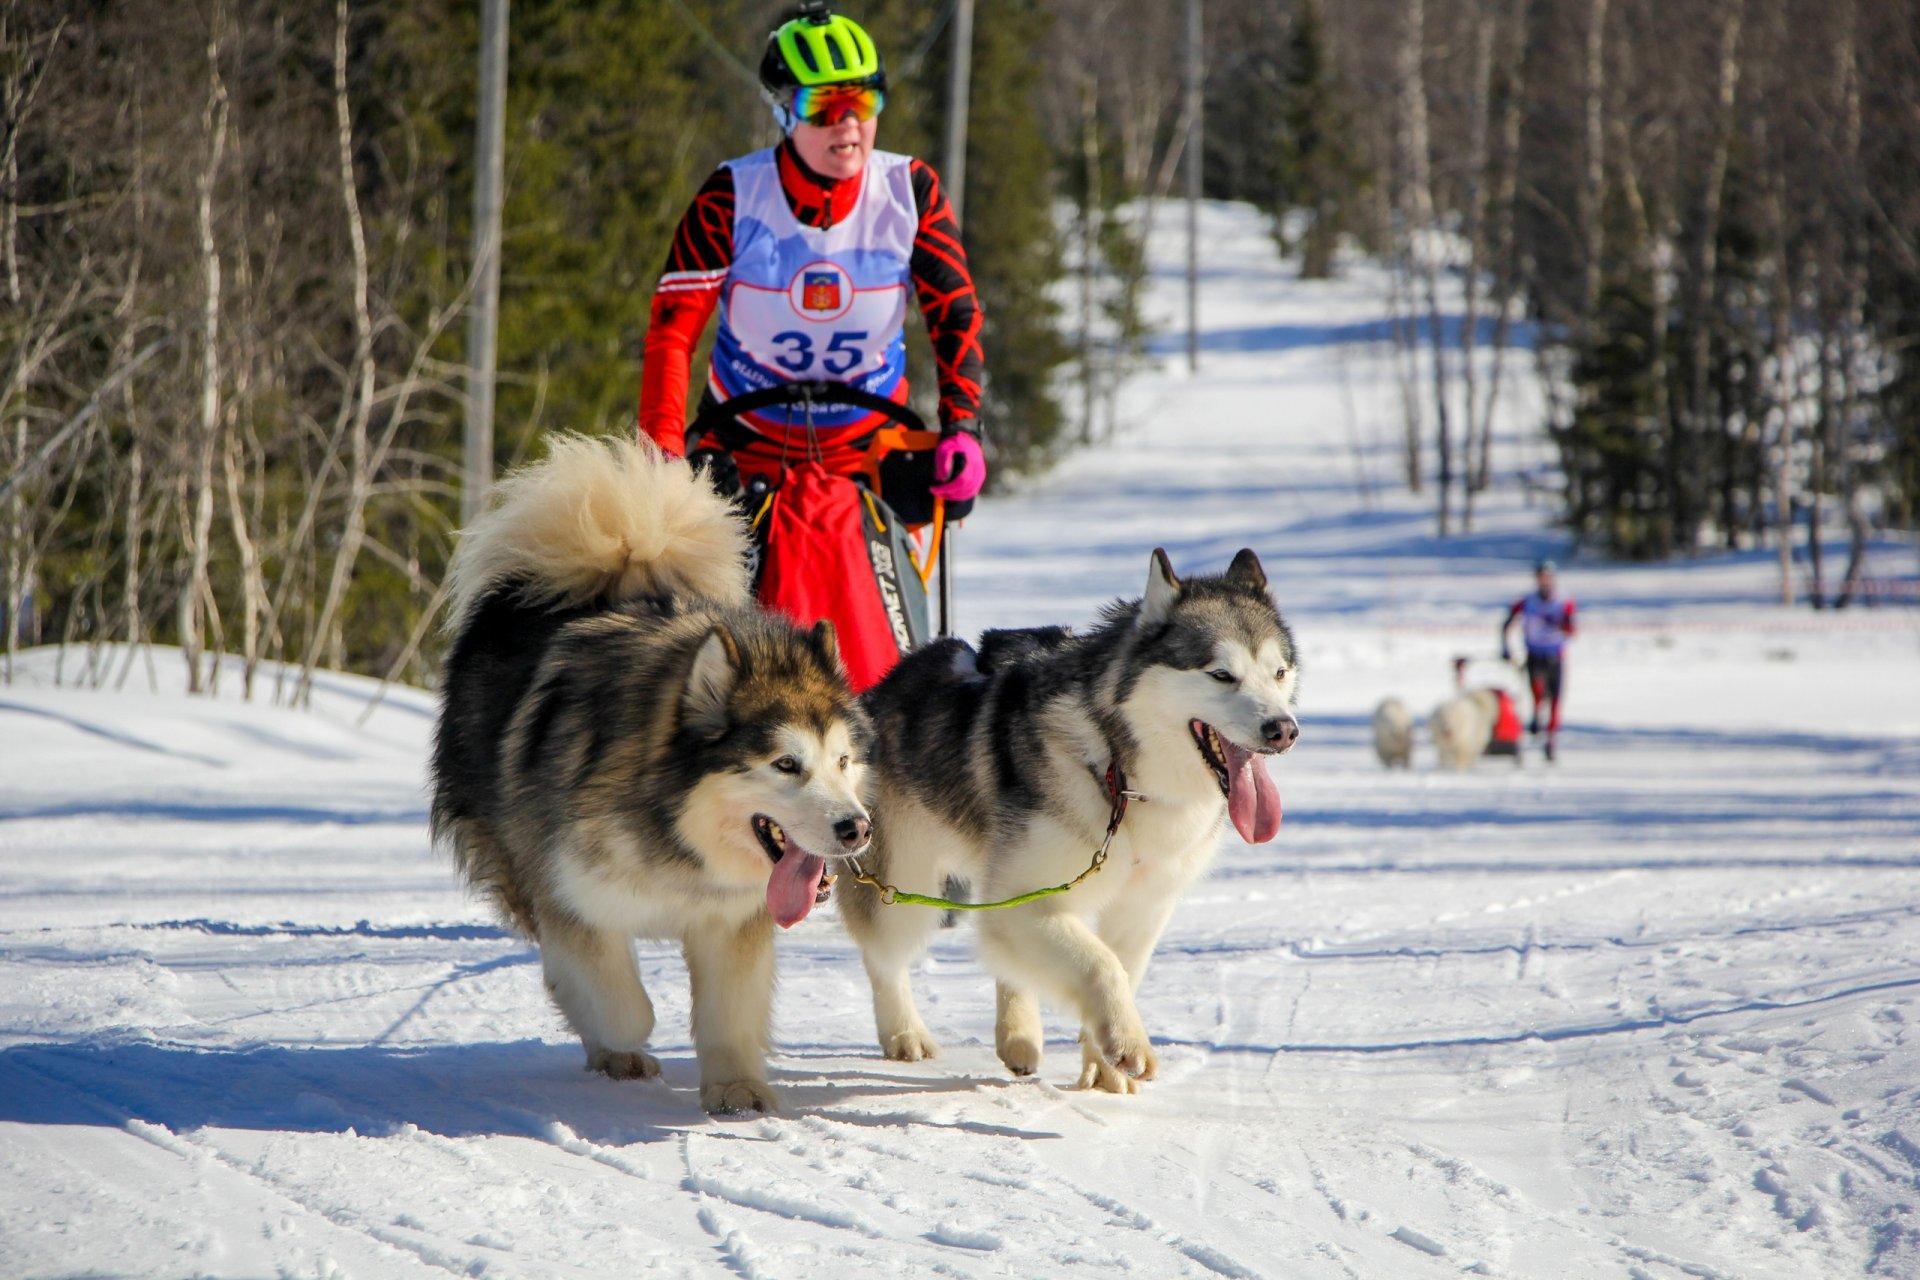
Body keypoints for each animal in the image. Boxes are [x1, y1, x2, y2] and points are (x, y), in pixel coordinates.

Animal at [430, 434, 872, 1115]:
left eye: (843, 761)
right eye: (786, 763)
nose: (857, 829)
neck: (674, 832)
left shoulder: (731, 920)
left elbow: (728, 1012)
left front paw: (736, 1088)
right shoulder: (572, 898)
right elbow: (618, 1001)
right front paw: (621, 1046)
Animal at [837, 548, 1298, 1094]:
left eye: (1279, 672)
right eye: (1221, 674)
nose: (1283, 729)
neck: (1120, 771)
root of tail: (879, 691)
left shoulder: (1141, 907)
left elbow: (1121, 969)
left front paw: (1103, 1067)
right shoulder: (1031, 900)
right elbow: (1101, 965)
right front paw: (1128, 1044)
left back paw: (1018, 1036)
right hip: (904, 885)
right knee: (884, 957)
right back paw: (905, 1033)